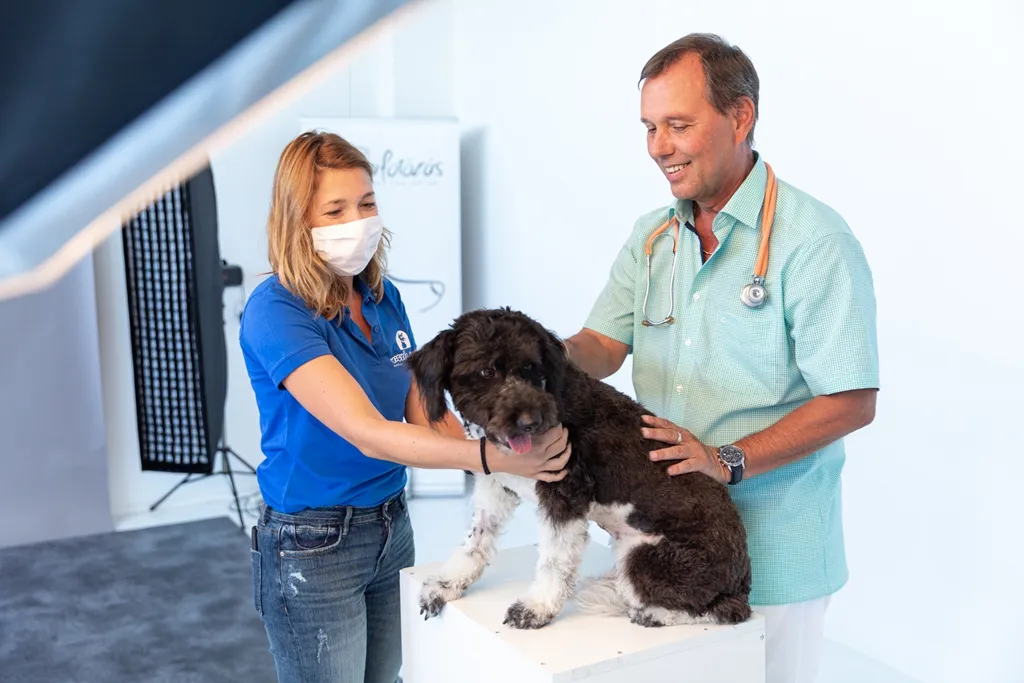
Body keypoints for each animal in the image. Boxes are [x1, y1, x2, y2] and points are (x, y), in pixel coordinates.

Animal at [406, 307, 751, 630]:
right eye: (486, 370)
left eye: (530, 367)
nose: (531, 421)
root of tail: (743, 581)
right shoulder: (496, 487)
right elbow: (475, 540)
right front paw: (445, 584)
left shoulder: (565, 495)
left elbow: (553, 560)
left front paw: (536, 608)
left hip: (650, 557)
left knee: (723, 610)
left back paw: (652, 613)